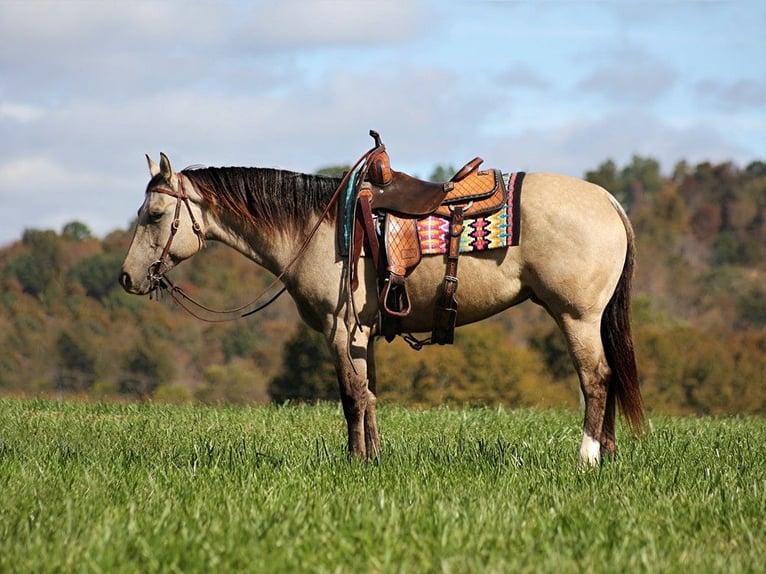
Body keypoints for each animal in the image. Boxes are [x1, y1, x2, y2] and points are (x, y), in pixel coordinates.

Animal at [119, 148, 644, 466]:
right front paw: (372, 459)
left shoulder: (340, 330)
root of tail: (609, 201)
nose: (127, 277)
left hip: (576, 316)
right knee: (608, 376)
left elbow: (351, 396)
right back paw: (610, 456)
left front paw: (355, 462)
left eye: (155, 215)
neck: (318, 227)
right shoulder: (361, 334)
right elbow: (369, 394)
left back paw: (588, 457)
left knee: (596, 379)